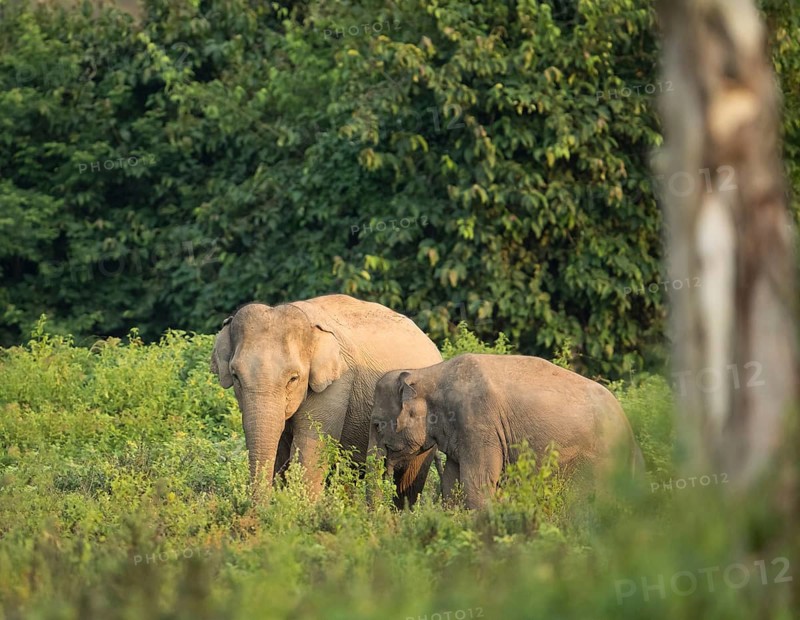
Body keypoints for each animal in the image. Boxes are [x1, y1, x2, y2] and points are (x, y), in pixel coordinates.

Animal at [210, 294, 443, 507]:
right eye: (236, 376)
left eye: (293, 378)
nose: (258, 509)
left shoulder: (336, 384)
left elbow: (309, 449)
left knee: (408, 483)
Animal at [368, 353, 644, 509]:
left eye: (377, 424)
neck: (427, 373)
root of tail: (628, 429)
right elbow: (451, 483)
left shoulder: (479, 423)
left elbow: (476, 483)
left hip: (601, 458)